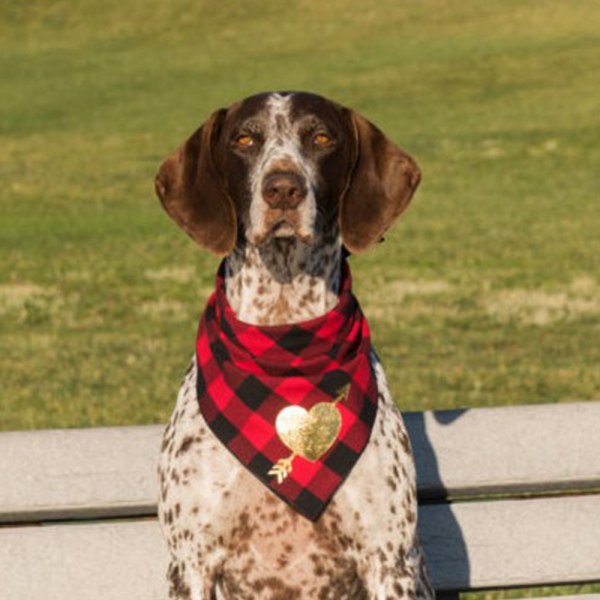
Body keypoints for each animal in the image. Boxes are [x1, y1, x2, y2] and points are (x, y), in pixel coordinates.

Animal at [157, 92, 434, 600]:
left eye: (321, 138)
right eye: (244, 139)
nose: (282, 188)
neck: (284, 335)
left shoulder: (388, 560)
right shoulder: (191, 561)